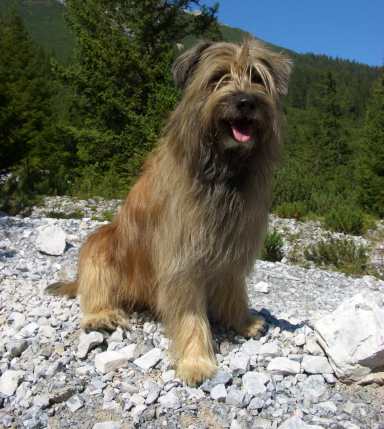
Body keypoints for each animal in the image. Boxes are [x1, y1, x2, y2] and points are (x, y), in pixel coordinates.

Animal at [46, 39, 292, 382]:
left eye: (256, 78)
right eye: (218, 77)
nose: (246, 102)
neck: (222, 171)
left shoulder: (233, 245)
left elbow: (234, 289)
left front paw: (242, 321)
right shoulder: (182, 258)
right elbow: (190, 314)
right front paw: (196, 361)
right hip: (101, 244)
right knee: (94, 288)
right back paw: (102, 315)